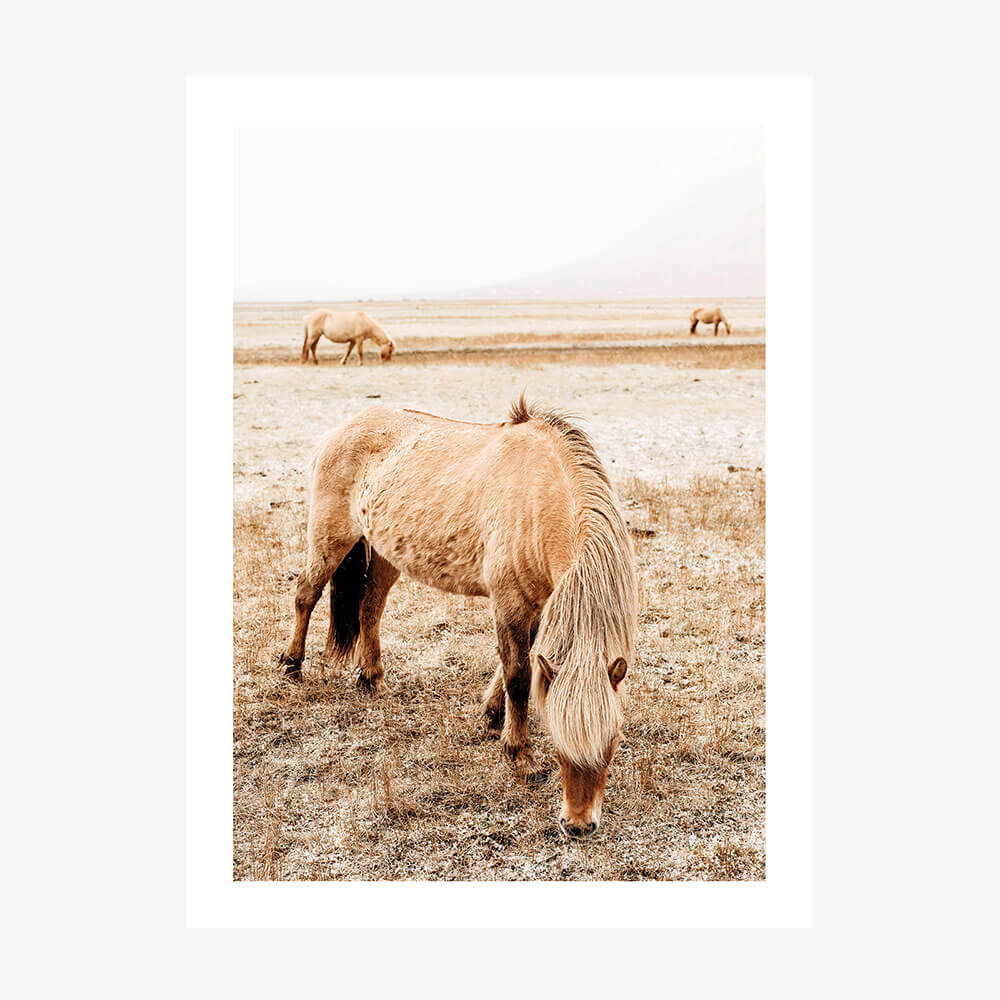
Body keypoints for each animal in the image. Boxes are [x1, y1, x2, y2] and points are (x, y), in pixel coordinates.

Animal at [279, 396, 639, 838]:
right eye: (557, 741)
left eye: (614, 739)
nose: (579, 824)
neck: (539, 497)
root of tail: (342, 429)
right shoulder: (509, 602)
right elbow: (518, 675)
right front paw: (519, 755)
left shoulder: (536, 604)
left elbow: (516, 666)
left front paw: (492, 714)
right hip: (330, 538)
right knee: (306, 595)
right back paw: (293, 666)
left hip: (384, 554)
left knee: (369, 610)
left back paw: (372, 679)